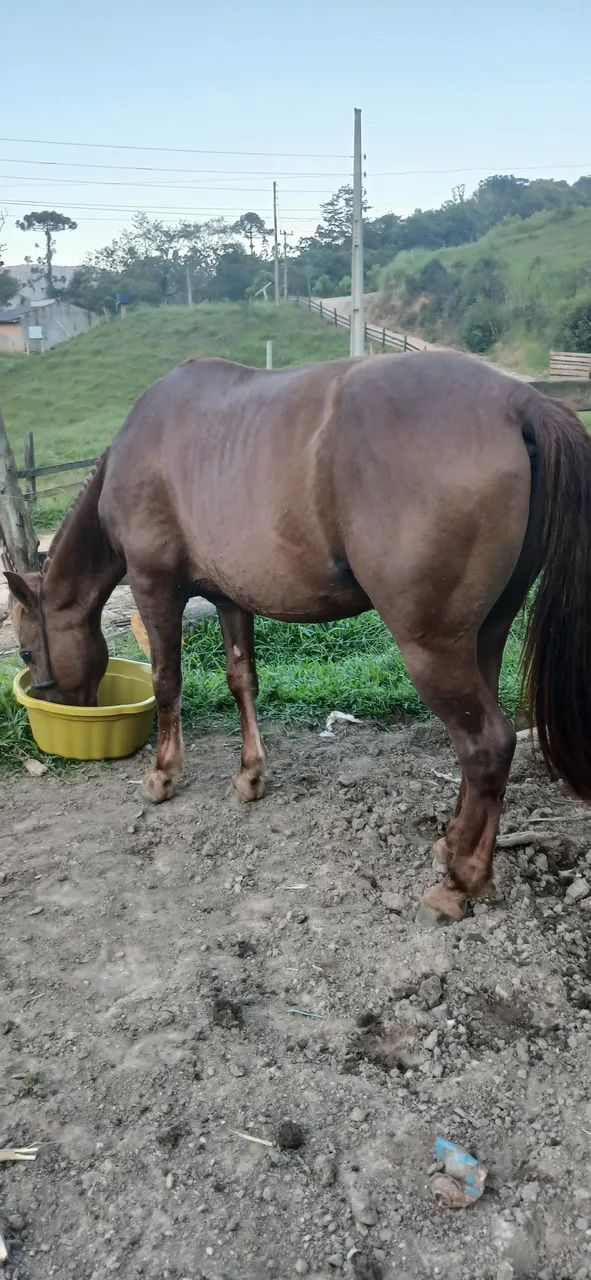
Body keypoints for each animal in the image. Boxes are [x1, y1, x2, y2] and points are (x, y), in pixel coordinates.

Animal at [8, 350, 591, 922]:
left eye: (27, 650)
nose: (63, 706)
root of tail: (520, 402)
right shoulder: (231, 599)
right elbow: (242, 681)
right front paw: (250, 776)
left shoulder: (156, 588)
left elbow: (168, 681)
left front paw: (163, 776)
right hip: (484, 635)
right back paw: (455, 847)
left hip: (433, 648)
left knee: (486, 743)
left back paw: (459, 884)